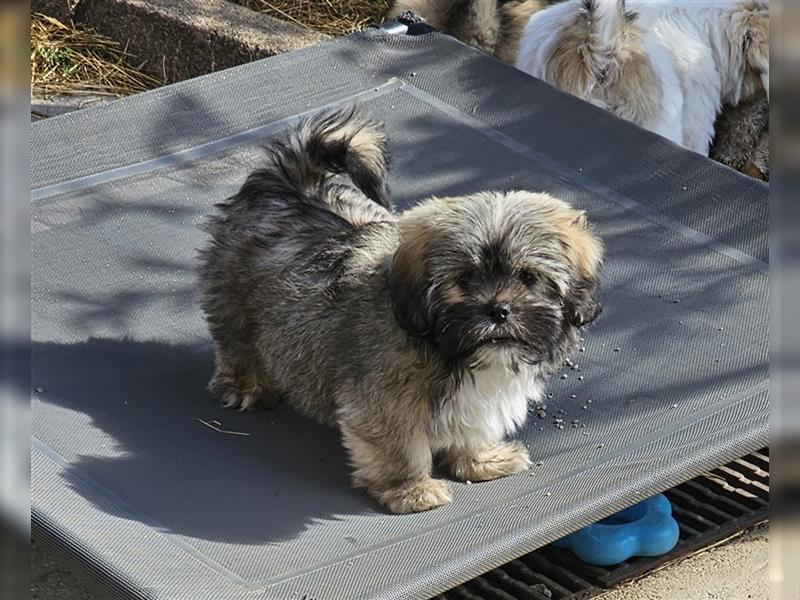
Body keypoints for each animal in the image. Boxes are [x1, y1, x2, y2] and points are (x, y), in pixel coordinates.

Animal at [198, 106, 600, 510]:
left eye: (528, 277)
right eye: (465, 278)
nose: (499, 310)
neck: (449, 348)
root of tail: (289, 182)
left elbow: (471, 425)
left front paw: (480, 459)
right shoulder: (383, 400)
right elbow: (400, 445)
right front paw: (410, 489)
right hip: (233, 299)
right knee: (236, 340)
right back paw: (245, 384)